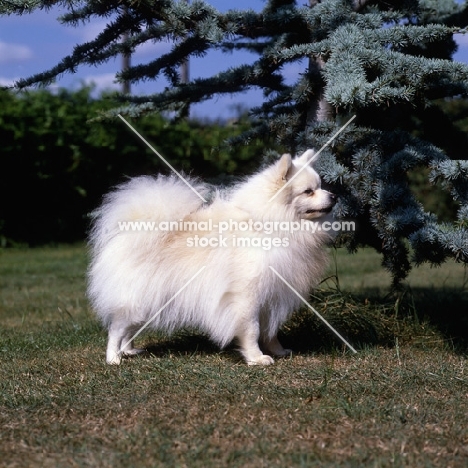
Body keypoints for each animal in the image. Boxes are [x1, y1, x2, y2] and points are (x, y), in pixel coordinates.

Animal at [88, 150, 336, 366]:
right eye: (309, 191)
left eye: (321, 186)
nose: (334, 195)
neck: (269, 225)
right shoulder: (246, 297)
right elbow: (252, 329)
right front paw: (256, 358)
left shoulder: (270, 296)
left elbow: (270, 330)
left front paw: (278, 350)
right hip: (137, 300)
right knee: (117, 329)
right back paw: (114, 358)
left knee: (128, 329)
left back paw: (128, 351)